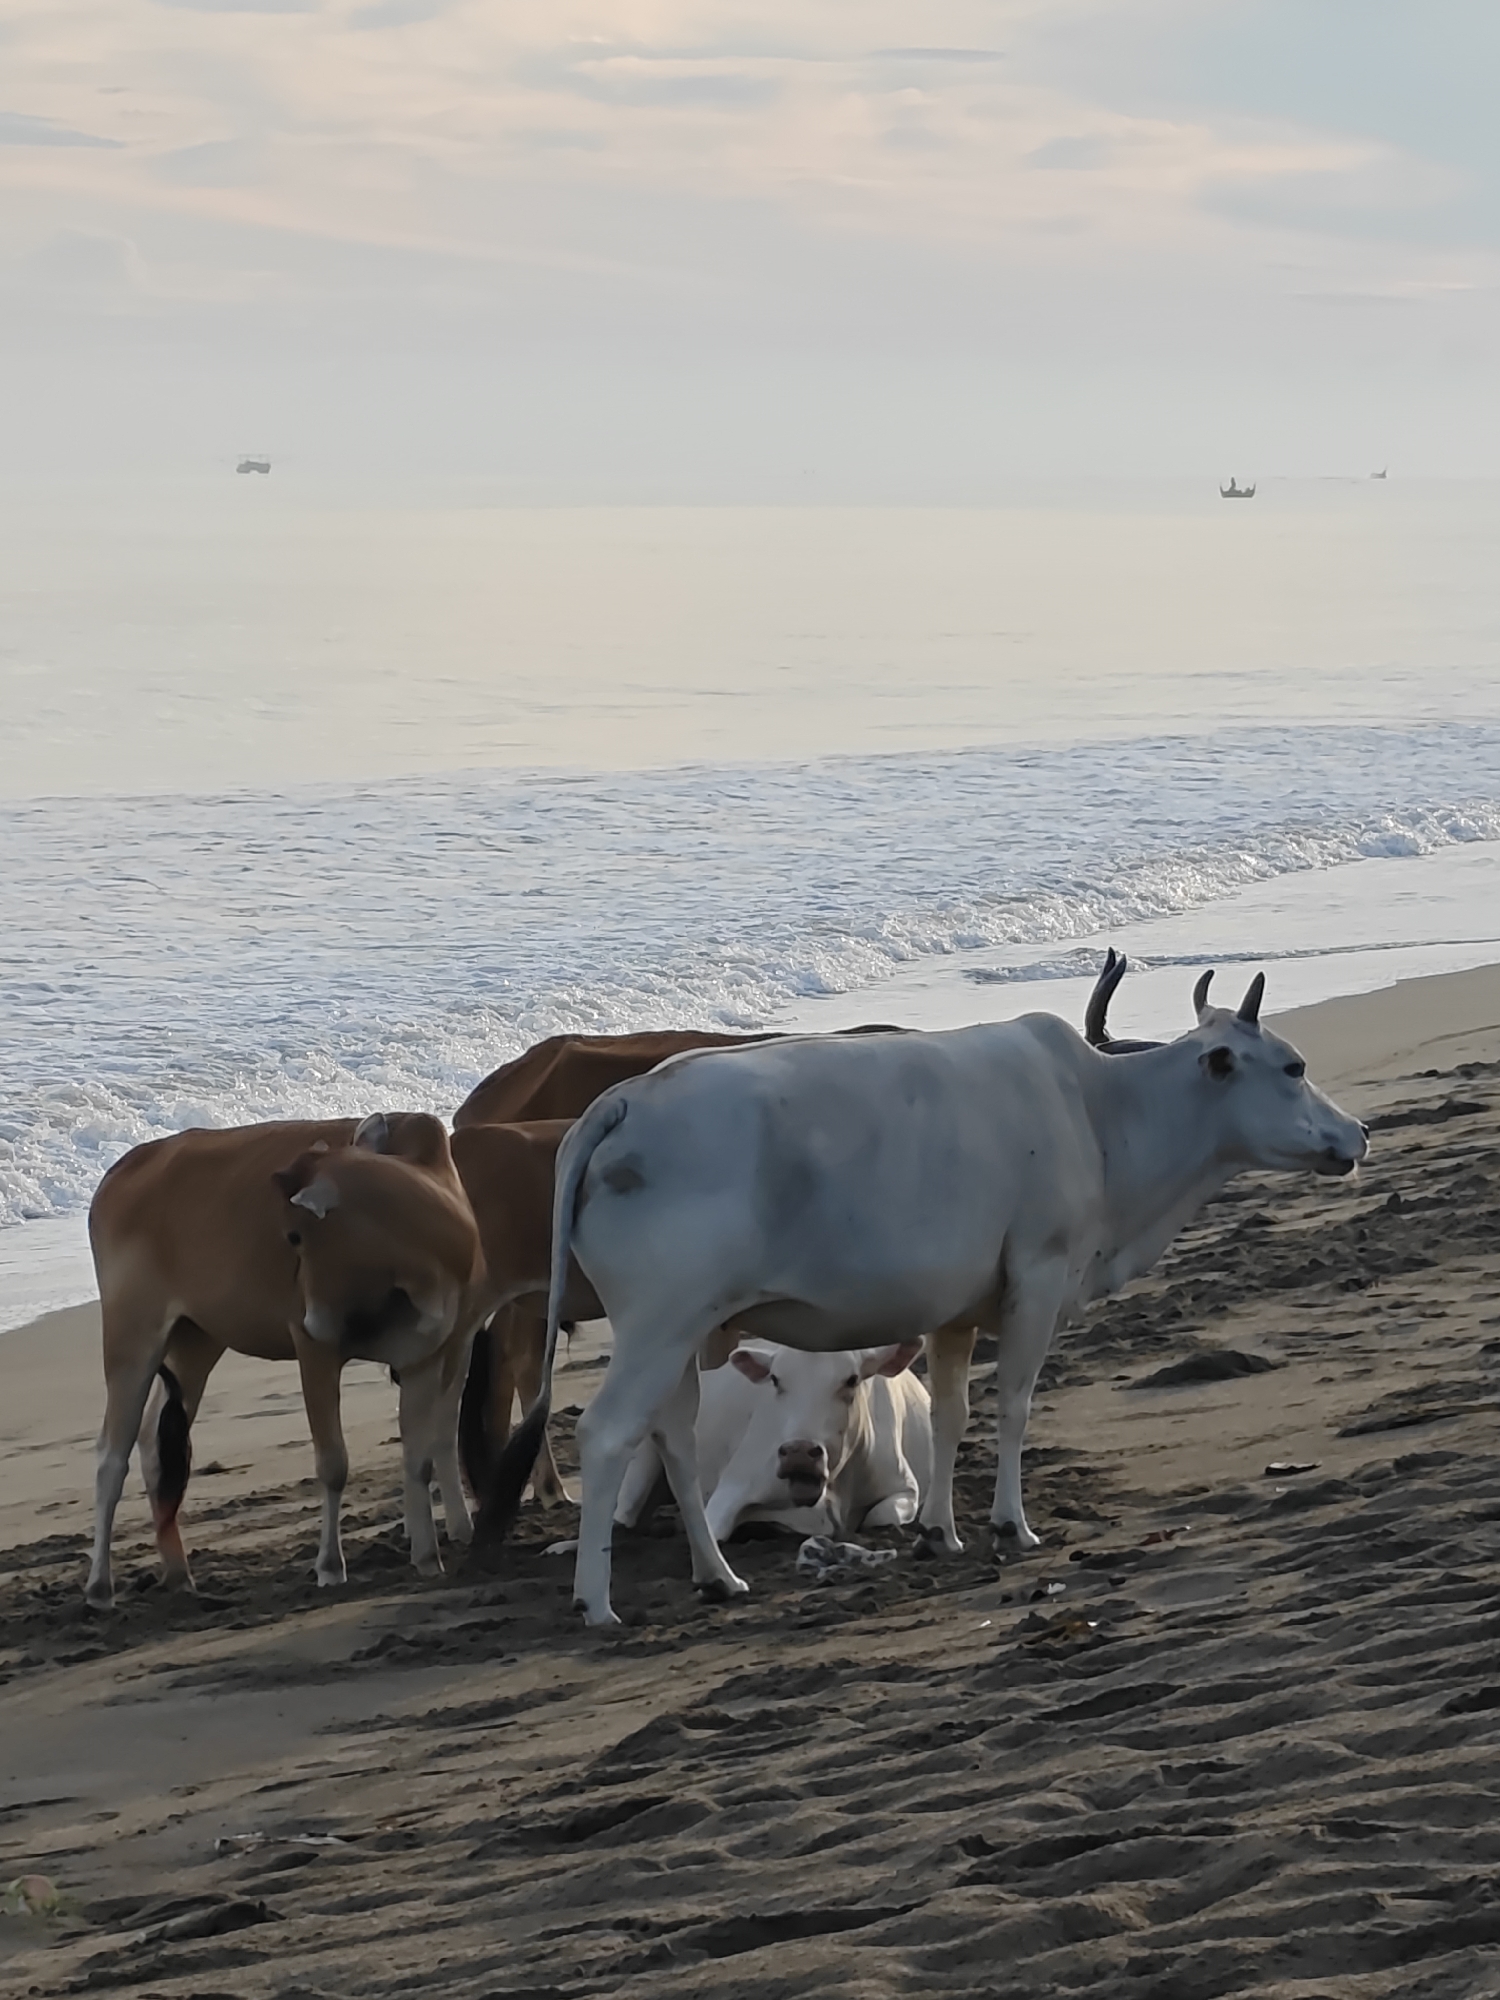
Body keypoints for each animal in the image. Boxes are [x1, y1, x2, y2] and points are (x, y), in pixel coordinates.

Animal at [84, 1111, 485, 1609]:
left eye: (294, 1233)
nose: (312, 1312)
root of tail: (118, 1174)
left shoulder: (424, 1355)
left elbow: (419, 1458)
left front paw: (428, 1558)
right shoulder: (315, 1347)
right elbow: (333, 1464)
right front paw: (330, 1567)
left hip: (195, 1342)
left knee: (156, 1442)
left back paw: (179, 1575)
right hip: (131, 1337)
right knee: (111, 1456)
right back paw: (100, 1587)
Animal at [614, 1340, 931, 1544]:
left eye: (852, 1380)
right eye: (776, 1379)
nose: (799, 1452)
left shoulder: (905, 1486)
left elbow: (882, 1515)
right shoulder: (733, 1487)